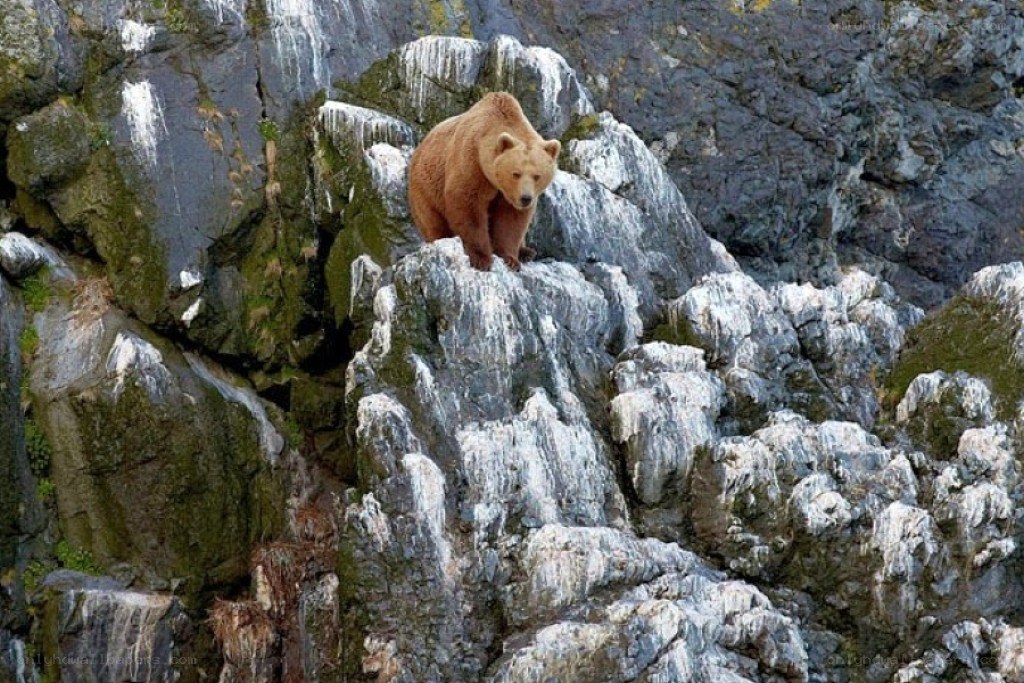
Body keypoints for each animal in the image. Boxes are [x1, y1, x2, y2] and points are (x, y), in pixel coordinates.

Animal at [407, 91, 561, 271]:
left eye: (537, 176)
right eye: (516, 174)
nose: (525, 198)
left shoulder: (508, 195)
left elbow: (511, 220)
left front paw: (510, 258)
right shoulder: (472, 163)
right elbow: (468, 205)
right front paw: (482, 258)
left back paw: (527, 251)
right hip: (425, 188)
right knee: (432, 221)